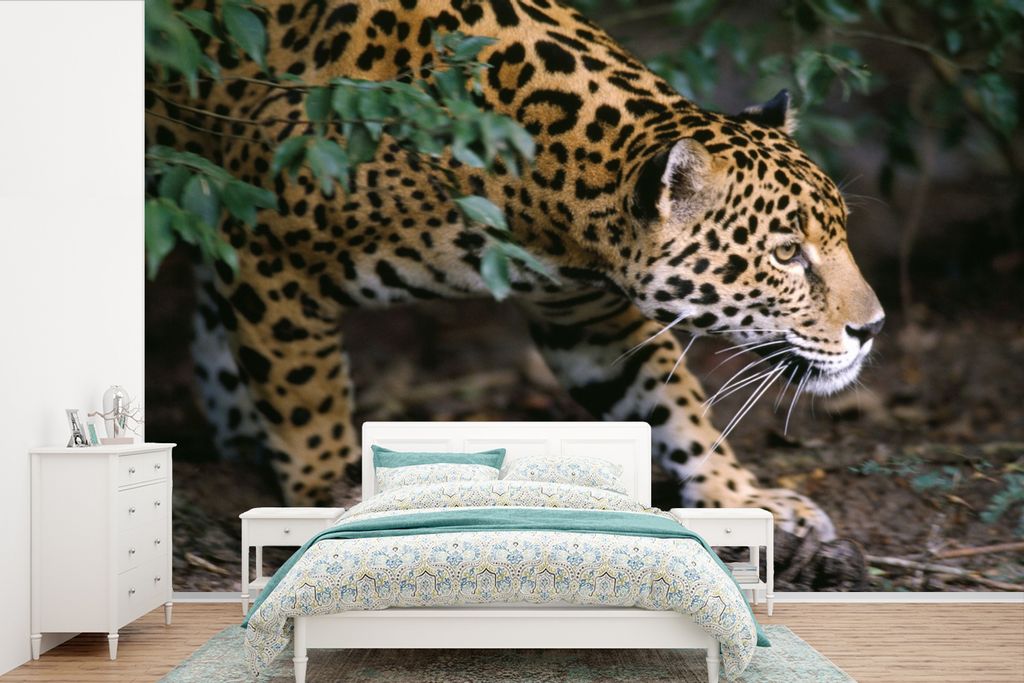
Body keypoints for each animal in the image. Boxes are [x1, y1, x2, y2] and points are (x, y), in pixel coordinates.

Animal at [146, 0, 884, 541]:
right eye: (786, 253)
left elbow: (671, 403)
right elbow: (310, 401)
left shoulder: (586, 318)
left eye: (840, 233)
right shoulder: (268, 249)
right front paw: (326, 497)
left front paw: (742, 497)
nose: (873, 328)